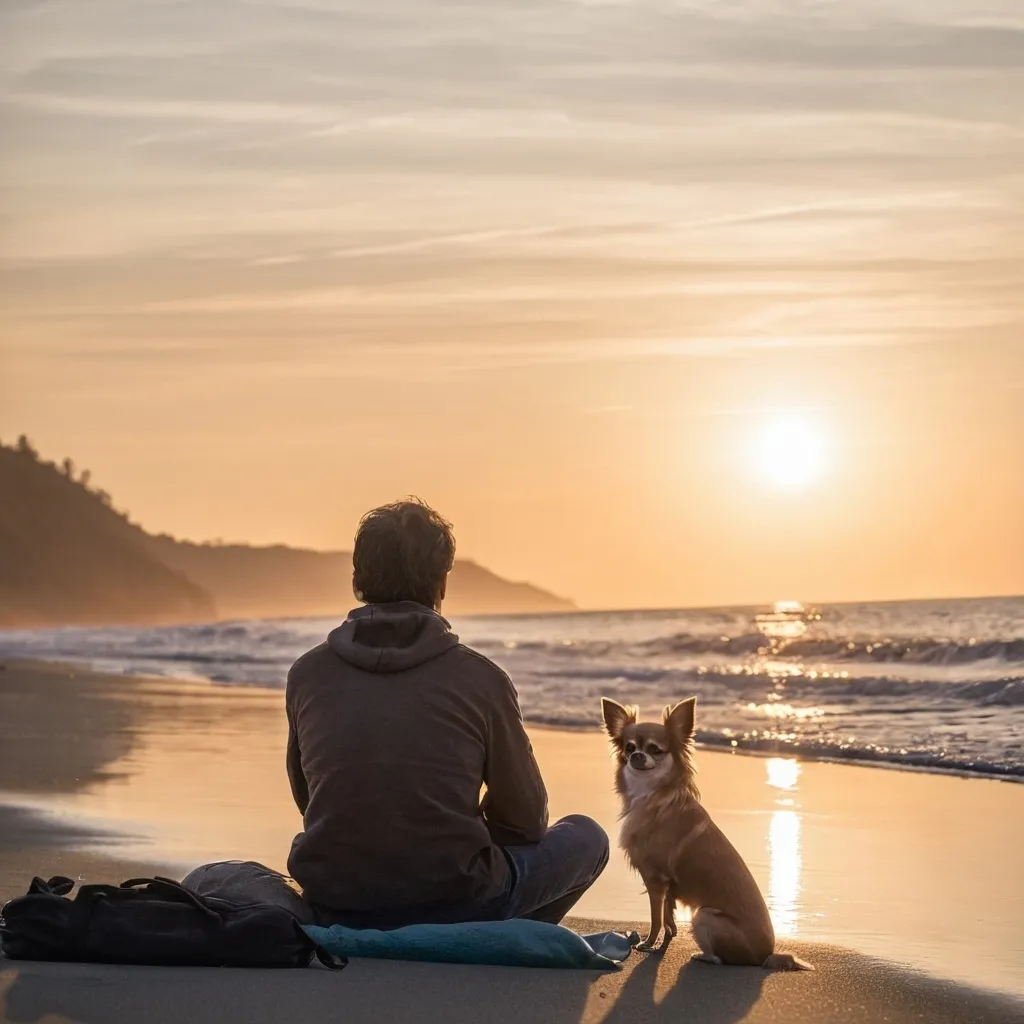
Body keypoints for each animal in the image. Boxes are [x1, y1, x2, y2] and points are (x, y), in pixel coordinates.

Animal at [598, 696, 806, 966]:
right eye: (629, 748)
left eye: (655, 750)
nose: (637, 756)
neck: (653, 797)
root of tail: (766, 955)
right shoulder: (667, 887)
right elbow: (668, 918)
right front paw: (666, 939)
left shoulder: (655, 880)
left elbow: (656, 919)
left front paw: (648, 943)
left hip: (704, 915)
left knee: (718, 958)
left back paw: (700, 955)